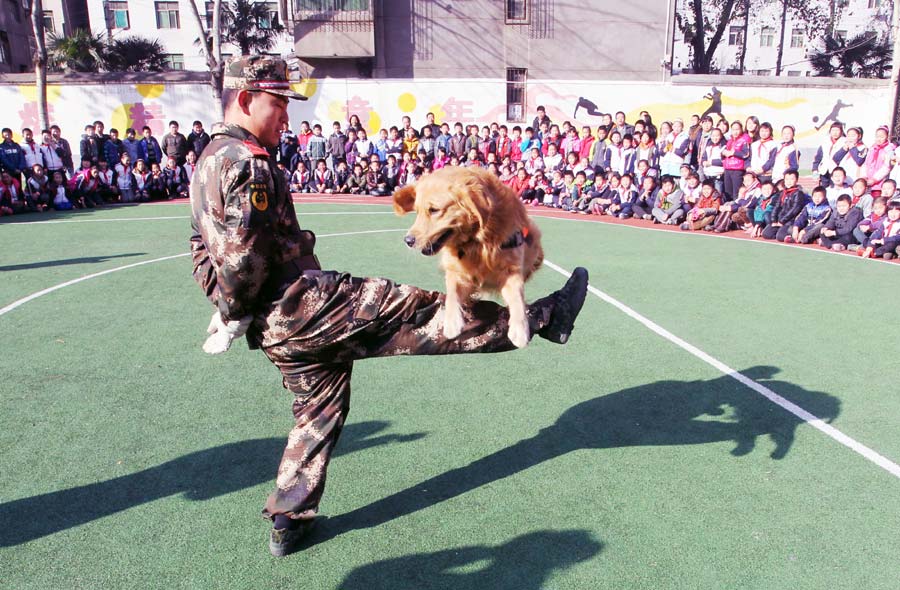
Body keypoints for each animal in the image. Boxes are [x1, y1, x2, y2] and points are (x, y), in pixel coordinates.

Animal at [392, 166, 540, 350]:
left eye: (434, 210)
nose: (408, 240)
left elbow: (517, 298)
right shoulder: (456, 271)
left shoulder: (511, 271)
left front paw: (520, 330)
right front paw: (452, 322)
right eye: (417, 211)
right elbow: (452, 292)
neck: (477, 241)